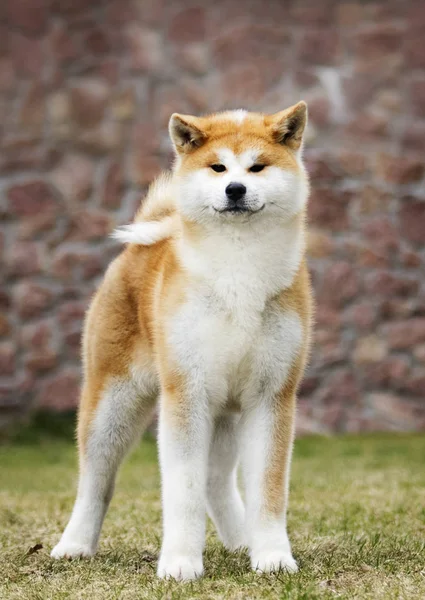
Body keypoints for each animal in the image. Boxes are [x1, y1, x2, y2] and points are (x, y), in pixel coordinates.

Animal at [51, 103, 314, 580]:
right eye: (218, 167)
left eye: (257, 167)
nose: (234, 189)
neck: (238, 272)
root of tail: (143, 244)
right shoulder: (186, 393)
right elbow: (183, 491)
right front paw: (179, 564)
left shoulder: (272, 397)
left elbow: (268, 493)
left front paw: (271, 556)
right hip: (112, 404)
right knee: (95, 481)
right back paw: (75, 545)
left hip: (226, 412)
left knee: (215, 482)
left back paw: (241, 541)